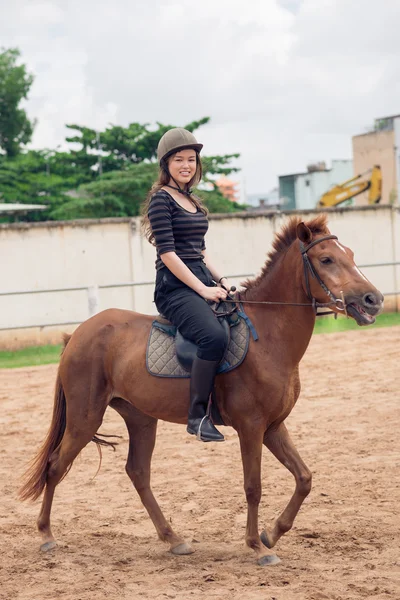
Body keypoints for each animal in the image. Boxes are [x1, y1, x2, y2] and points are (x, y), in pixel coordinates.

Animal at [20, 217, 382, 568]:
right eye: (326, 259)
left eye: (350, 254)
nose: (373, 299)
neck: (268, 337)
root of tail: (78, 334)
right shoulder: (251, 427)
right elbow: (253, 486)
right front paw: (257, 547)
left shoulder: (274, 427)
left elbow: (304, 478)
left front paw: (272, 533)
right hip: (85, 418)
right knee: (55, 465)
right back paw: (46, 536)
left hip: (140, 419)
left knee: (138, 472)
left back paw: (173, 539)